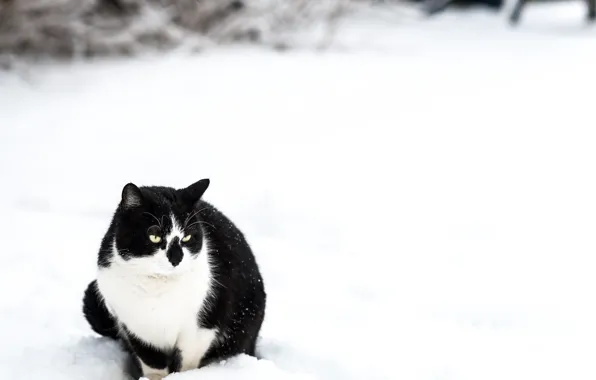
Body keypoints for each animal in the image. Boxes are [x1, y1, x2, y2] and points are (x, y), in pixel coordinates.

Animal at [81, 179, 266, 380]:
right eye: (154, 235)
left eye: (187, 237)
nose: (176, 258)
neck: (158, 288)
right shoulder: (136, 327)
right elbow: (152, 362)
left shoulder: (202, 326)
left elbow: (187, 361)